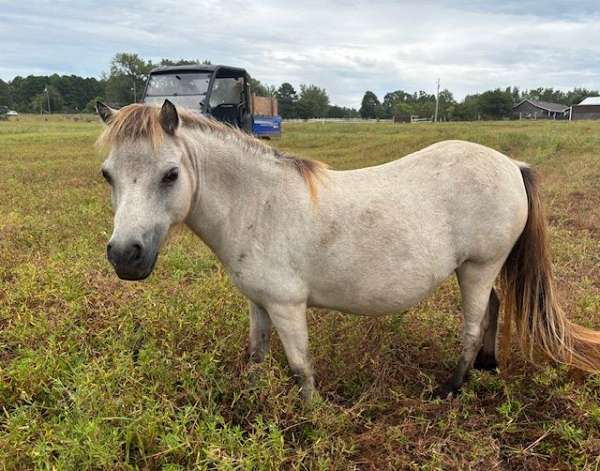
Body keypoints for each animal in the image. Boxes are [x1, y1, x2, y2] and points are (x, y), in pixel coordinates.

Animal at [96, 101, 600, 400]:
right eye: (107, 174)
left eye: (170, 174)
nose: (125, 256)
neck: (257, 203)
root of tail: (511, 164)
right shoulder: (259, 302)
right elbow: (257, 354)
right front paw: (254, 398)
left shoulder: (287, 306)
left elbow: (300, 367)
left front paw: (311, 418)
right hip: (480, 270)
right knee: (494, 308)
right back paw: (488, 367)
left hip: (478, 267)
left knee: (473, 327)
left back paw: (451, 388)